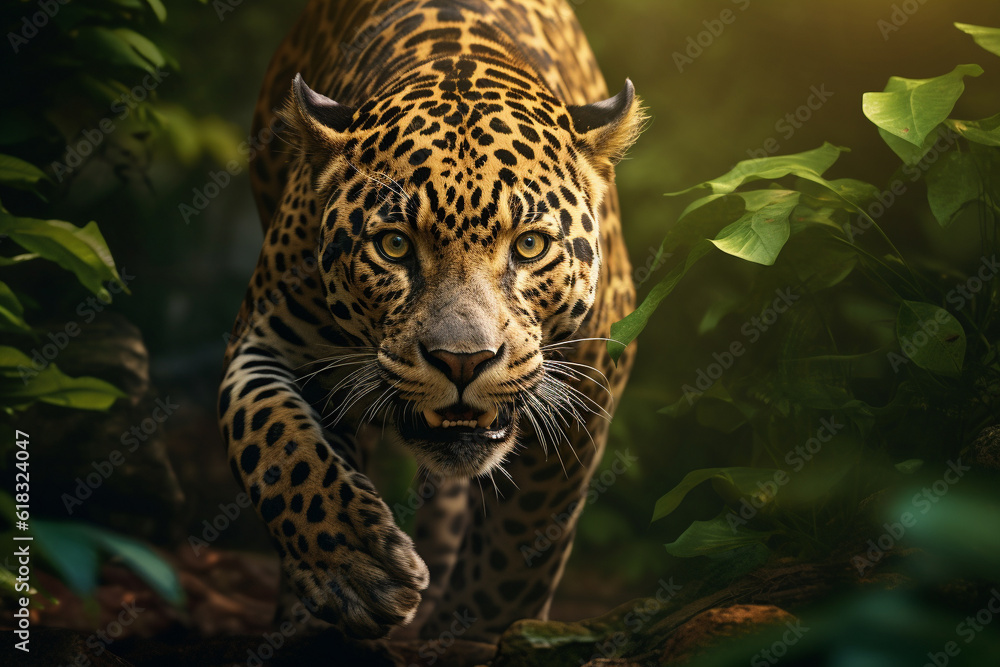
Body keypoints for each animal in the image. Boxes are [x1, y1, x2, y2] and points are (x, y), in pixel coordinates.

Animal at [218, 0, 644, 643]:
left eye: (529, 245)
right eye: (394, 246)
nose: (462, 362)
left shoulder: (590, 385)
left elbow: (523, 541)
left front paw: (478, 631)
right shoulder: (264, 342)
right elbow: (274, 442)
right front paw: (358, 568)